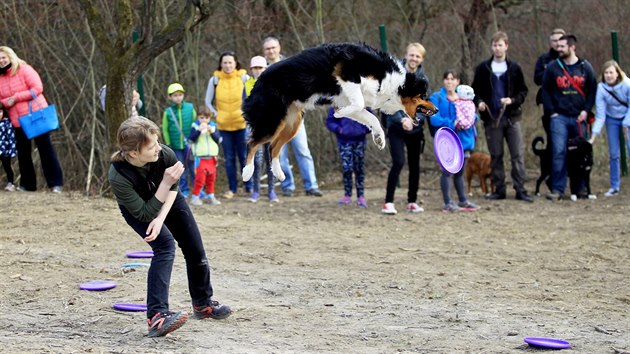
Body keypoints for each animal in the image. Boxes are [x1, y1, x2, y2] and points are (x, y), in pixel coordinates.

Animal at [242, 43, 440, 183]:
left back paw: (279, 173)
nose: (437, 109)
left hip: (292, 123)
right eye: (424, 95)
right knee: (252, 143)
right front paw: (339, 115)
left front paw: (379, 138)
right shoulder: (347, 73)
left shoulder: (348, 98)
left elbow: (370, 116)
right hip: (271, 120)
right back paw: (247, 172)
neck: (393, 82)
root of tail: (258, 80)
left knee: (273, 147)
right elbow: (359, 103)